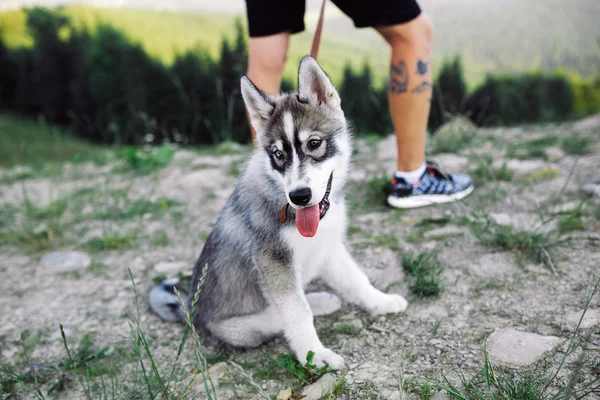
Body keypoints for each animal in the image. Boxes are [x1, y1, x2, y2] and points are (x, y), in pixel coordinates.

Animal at [152, 55, 410, 368]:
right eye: (278, 155)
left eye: (314, 143)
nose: (299, 196)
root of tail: (189, 309)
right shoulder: (272, 261)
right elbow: (297, 311)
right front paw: (315, 355)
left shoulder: (329, 246)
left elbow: (355, 279)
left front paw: (380, 300)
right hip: (240, 326)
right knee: (275, 317)